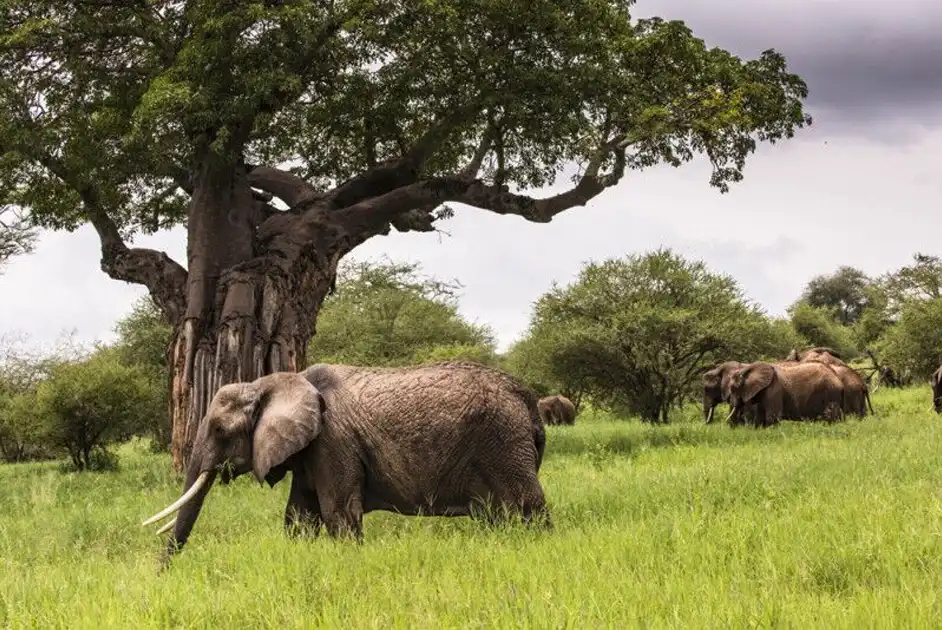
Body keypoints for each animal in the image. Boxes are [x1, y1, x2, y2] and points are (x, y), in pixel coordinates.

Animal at [143, 360, 548, 568]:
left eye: (219, 429)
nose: (162, 573)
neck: (272, 382)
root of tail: (526, 397)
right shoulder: (310, 450)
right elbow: (299, 517)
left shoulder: (333, 441)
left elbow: (338, 513)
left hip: (503, 442)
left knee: (528, 507)